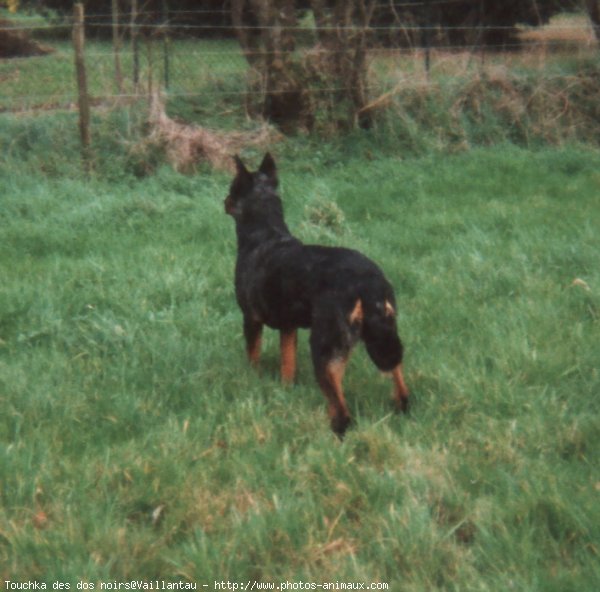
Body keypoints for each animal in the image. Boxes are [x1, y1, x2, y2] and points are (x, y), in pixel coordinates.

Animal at [223, 155, 410, 438]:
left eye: (233, 188)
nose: (224, 201)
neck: (265, 235)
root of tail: (368, 284)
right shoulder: (288, 327)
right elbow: (287, 365)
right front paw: (285, 392)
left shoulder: (251, 319)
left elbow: (252, 356)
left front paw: (252, 379)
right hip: (384, 334)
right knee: (397, 375)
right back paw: (400, 407)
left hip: (325, 346)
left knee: (341, 409)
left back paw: (333, 431)